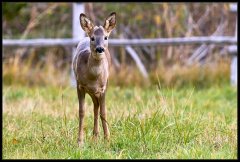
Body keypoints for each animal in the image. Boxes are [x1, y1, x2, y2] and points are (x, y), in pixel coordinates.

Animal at [72, 12, 116, 146]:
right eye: (92, 38)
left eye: (106, 37)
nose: (100, 48)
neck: (93, 77)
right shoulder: (80, 86)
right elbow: (81, 112)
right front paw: (80, 141)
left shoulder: (103, 88)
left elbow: (104, 112)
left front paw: (107, 139)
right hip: (90, 91)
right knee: (95, 107)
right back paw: (95, 136)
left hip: (99, 89)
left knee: (97, 108)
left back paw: (96, 136)